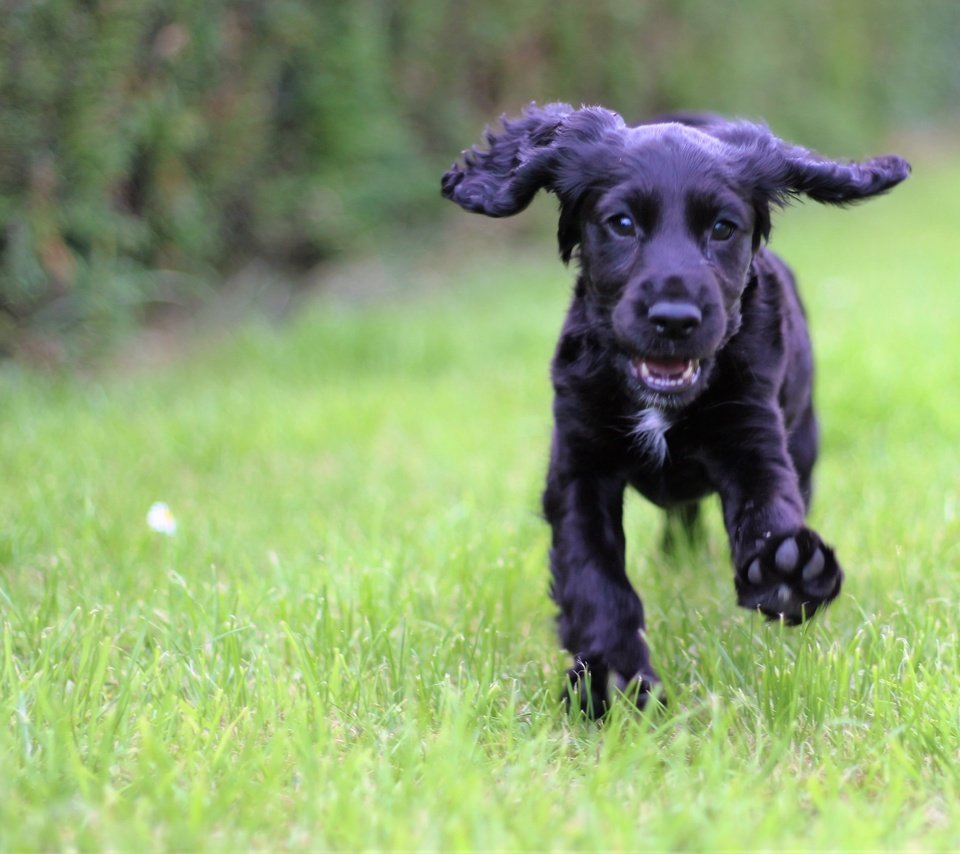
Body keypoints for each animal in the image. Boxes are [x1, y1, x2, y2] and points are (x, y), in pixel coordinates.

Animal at [440, 103, 908, 716]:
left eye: (723, 228)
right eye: (621, 224)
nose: (674, 318)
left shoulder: (752, 434)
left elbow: (767, 507)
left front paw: (788, 571)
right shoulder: (578, 467)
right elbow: (594, 577)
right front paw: (613, 682)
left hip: (803, 435)